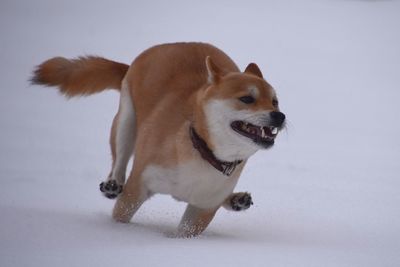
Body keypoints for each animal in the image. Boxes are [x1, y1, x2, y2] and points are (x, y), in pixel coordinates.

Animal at [32, 42, 286, 239]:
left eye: (275, 101)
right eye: (247, 99)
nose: (279, 116)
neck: (201, 151)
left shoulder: (203, 206)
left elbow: (187, 231)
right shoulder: (137, 188)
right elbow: (122, 212)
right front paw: (118, 232)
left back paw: (236, 200)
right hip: (125, 122)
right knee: (120, 159)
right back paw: (112, 184)